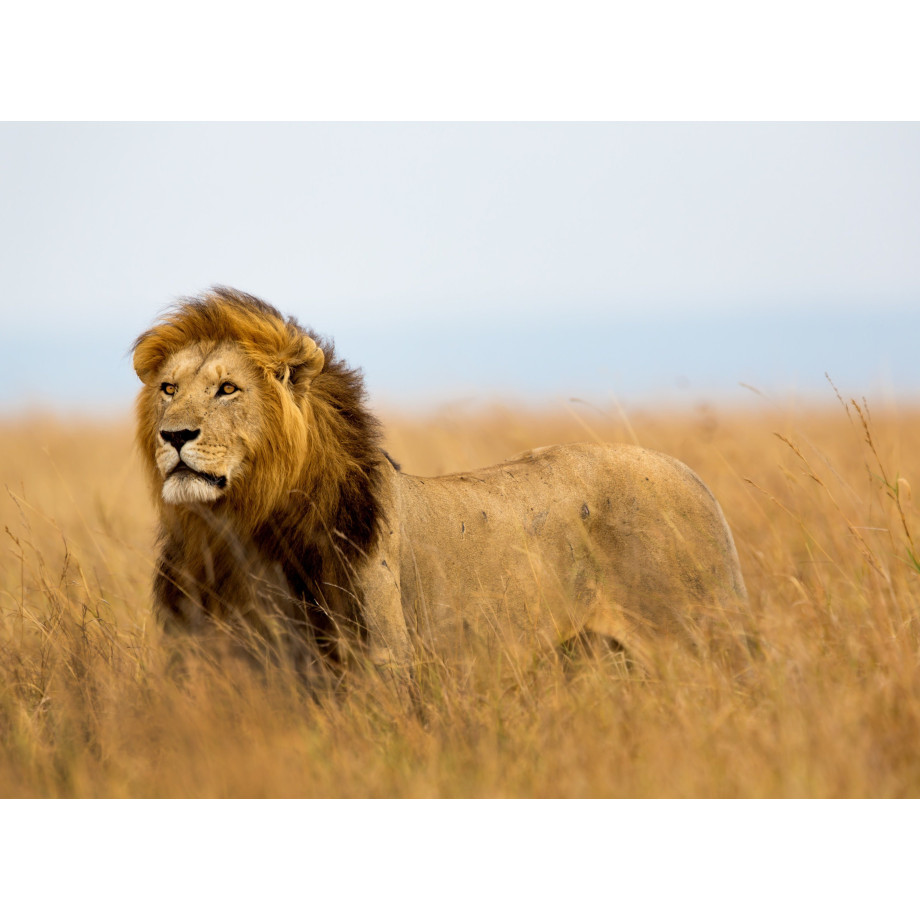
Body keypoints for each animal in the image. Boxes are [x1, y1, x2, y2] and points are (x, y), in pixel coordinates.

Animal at [133, 288, 752, 684]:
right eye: (168, 388)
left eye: (228, 389)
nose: (175, 435)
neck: (236, 529)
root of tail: (693, 477)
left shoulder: (378, 663)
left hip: (701, 644)